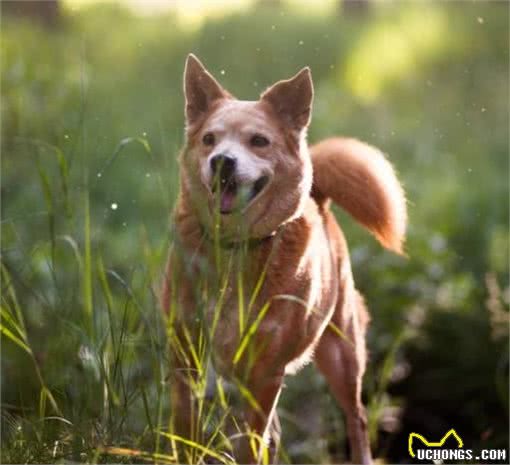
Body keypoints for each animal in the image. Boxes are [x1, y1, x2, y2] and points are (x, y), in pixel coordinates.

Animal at [161, 52, 408, 462]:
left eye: (259, 141)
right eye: (209, 139)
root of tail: (318, 197)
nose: (221, 161)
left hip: (341, 354)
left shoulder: (265, 372)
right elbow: (186, 432)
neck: (236, 248)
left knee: (355, 419)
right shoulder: (185, 354)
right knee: (275, 433)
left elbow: (250, 444)